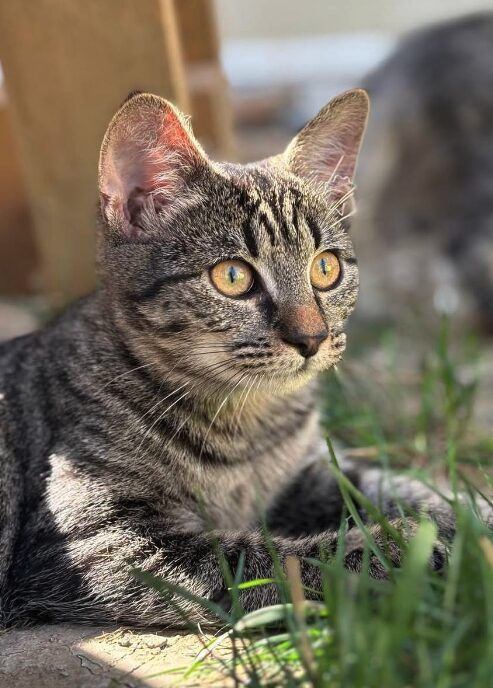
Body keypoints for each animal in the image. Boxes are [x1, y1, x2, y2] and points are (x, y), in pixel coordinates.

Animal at [0, 88, 454, 628]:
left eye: (326, 268)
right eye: (233, 277)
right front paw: (394, 549)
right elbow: (264, 558)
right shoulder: (97, 540)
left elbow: (389, 484)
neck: (246, 427)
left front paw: (462, 518)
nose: (312, 338)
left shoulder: (304, 473)